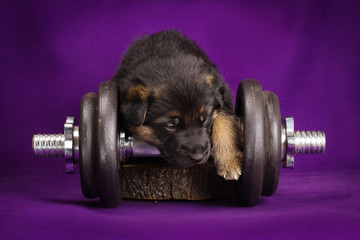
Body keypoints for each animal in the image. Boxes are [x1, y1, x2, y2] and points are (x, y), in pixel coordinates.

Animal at [112, 30, 242, 180]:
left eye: (205, 119)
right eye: (171, 125)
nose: (198, 157)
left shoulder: (223, 99)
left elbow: (224, 122)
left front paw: (229, 161)